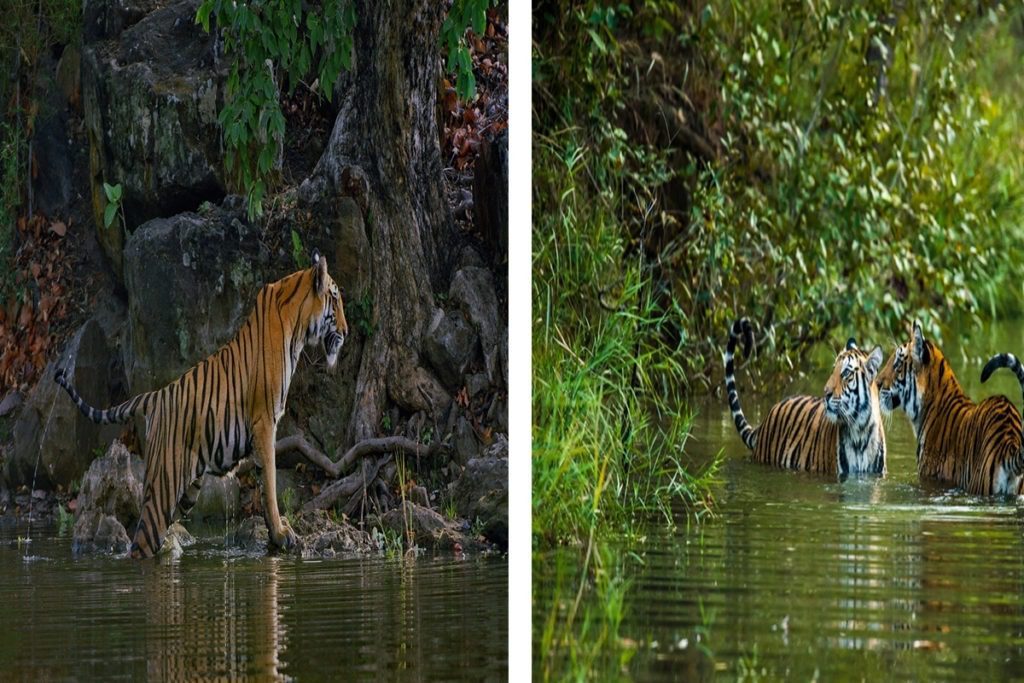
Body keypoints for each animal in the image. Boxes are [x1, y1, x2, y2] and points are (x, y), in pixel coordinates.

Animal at [54, 249, 350, 557]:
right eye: (336, 299)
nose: (346, 331)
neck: (298, 325)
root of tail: (154, 396)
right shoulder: (265, 421)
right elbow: (270, 482)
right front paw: (282, 533)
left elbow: (263, 480)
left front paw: (274, 534)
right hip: (163, 485)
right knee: (141, 543)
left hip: (185, 492)